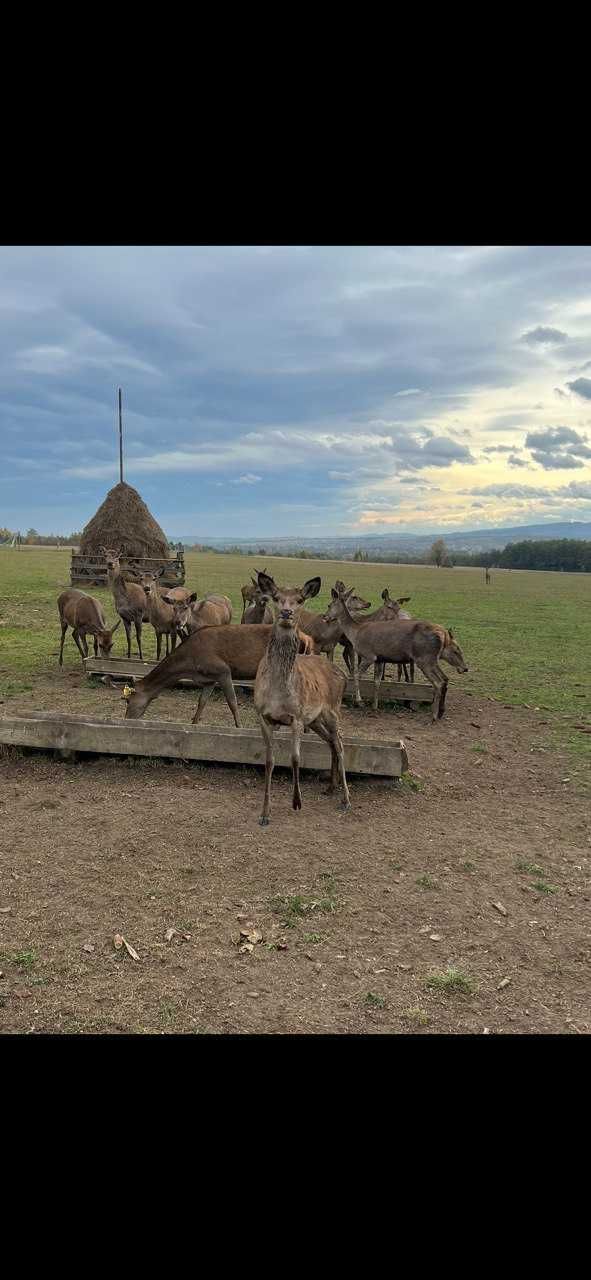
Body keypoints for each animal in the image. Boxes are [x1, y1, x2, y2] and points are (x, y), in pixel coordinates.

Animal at [120, 624, 313, 727]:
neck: (189, 665)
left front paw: (239, 726)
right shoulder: (209, 680)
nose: (126, 719)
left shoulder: (223, 671)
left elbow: (232, 703)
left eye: (129, 700)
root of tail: (307, 638)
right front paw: (193, 724)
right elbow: (201, 703)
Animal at [253, 565, 350, 824]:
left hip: (333, 710)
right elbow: (269, 760)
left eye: (299, 600)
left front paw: (296, 802)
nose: (286, 612)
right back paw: (330, 788)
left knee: (340, 744)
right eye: (276, 597)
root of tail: (342, 674)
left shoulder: (296, 717)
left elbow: (295, 758)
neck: (277, 692)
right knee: (330, 742)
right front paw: (264, 813)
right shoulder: (264, 716)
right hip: (315, 719)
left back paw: (346, 799)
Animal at [321, 588, 468, 721]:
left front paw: (359, 701)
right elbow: (377, 681)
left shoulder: (369, 655)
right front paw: (374, 707)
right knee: (444, 679)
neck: (355, 633)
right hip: (431, 660)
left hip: (424, 659)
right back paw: (440, 712)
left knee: (438, 682)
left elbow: (357, 675)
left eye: (329, 605)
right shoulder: (379, 659)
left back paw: (433, 716)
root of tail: (443, 636)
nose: (325, 616)